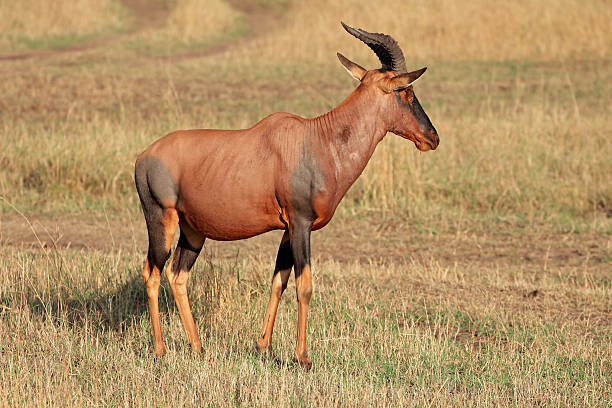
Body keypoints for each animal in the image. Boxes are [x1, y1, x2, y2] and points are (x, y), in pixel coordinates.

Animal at [136, 20, 438, 368]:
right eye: (407, 92)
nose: (432, 138)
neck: (318, 140)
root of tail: (143, 157)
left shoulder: (288, 228)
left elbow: (278, 281)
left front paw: (264, 347)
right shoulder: (302, 222)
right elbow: (304, 284)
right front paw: (303, 358)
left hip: (194, 231)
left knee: (177, 275)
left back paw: (198, 348)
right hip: (162, 221)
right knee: (152, 272)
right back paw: (160, 350)